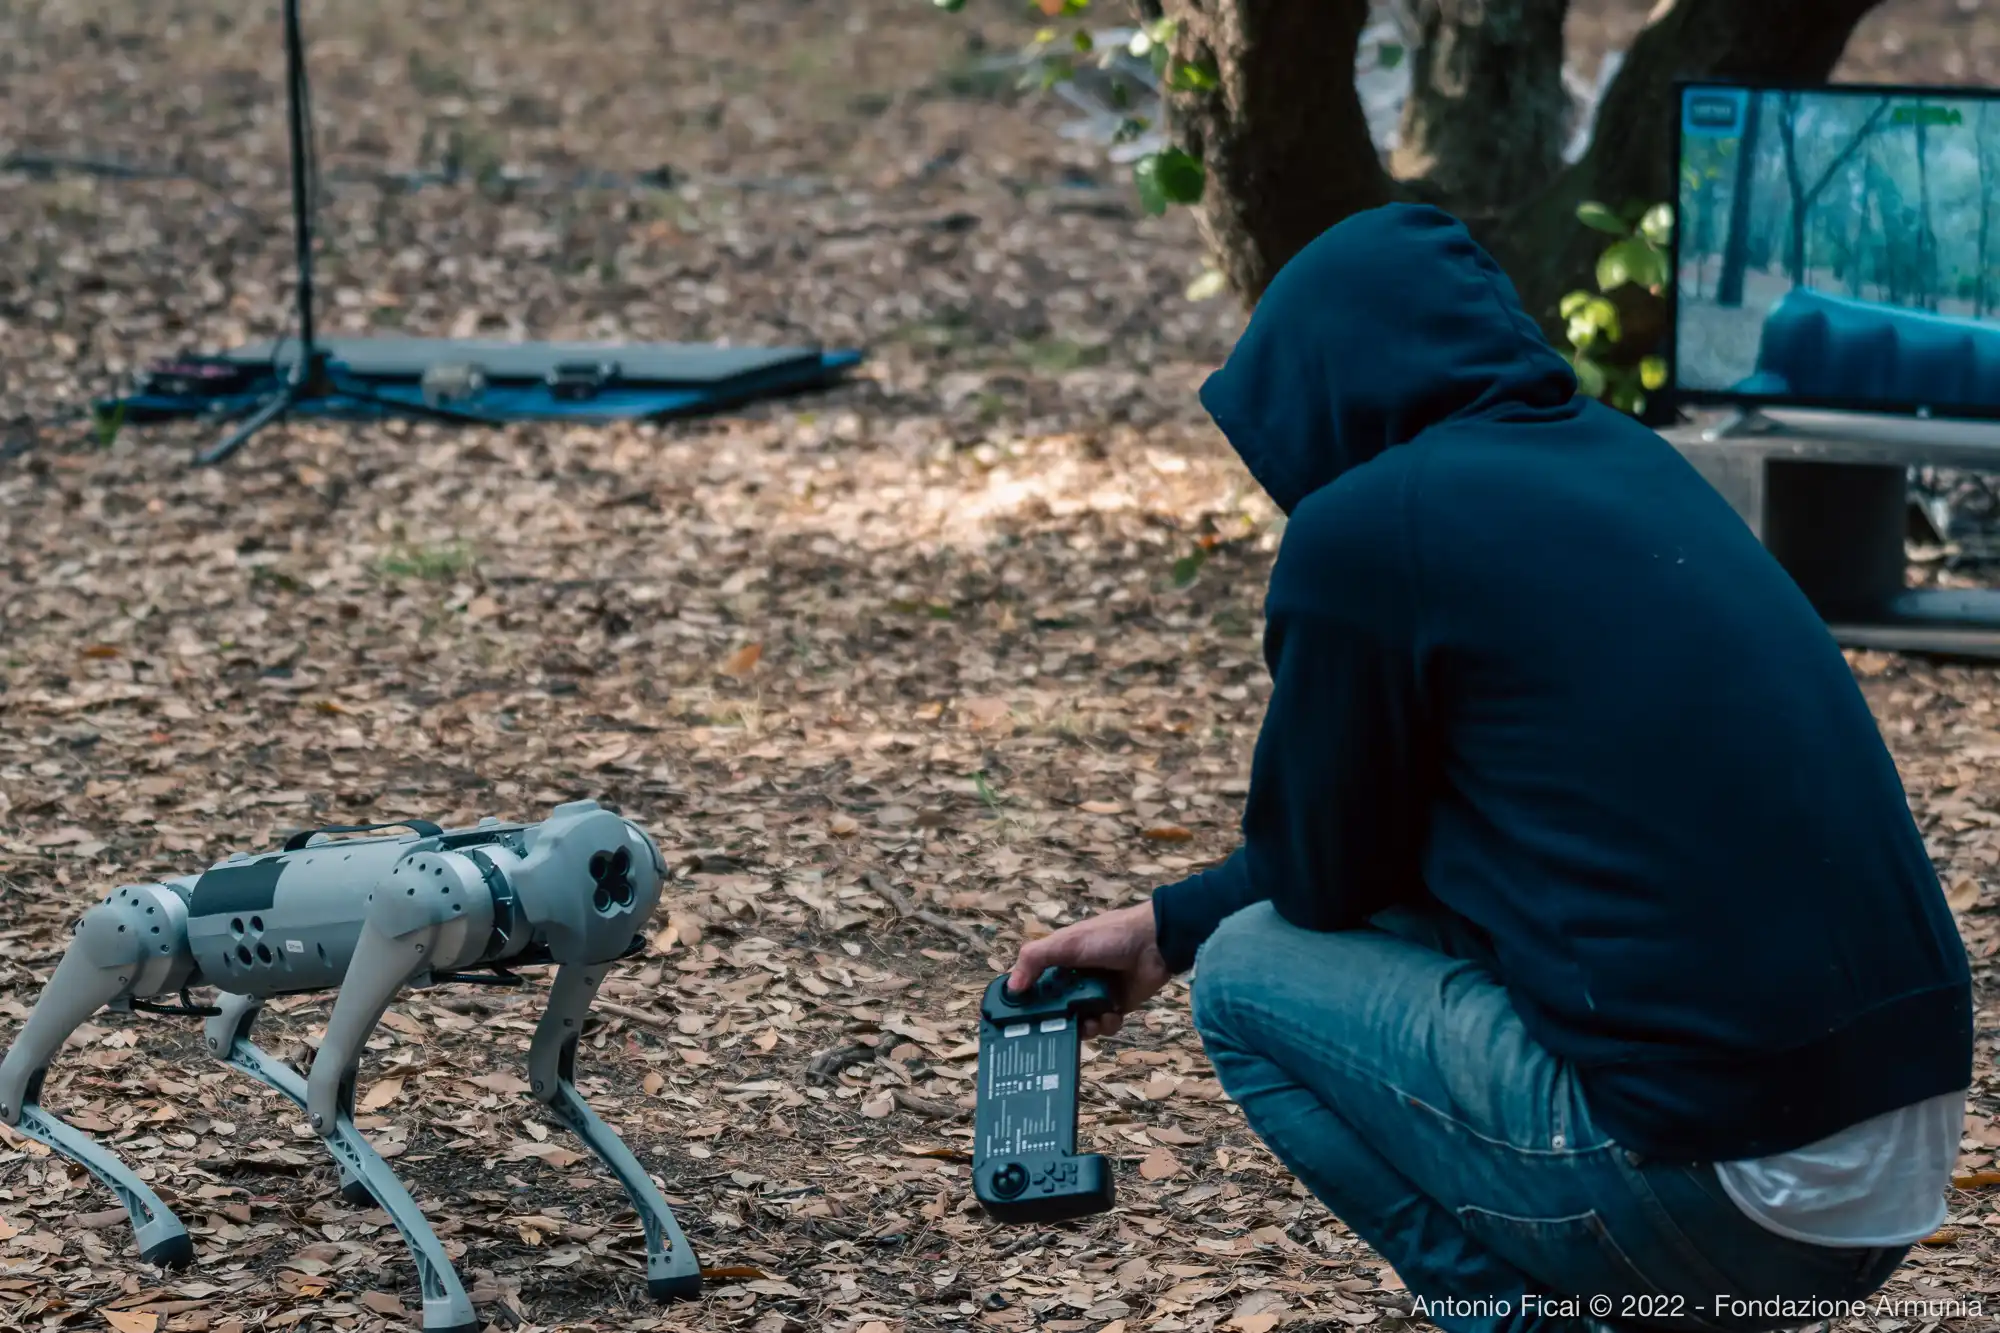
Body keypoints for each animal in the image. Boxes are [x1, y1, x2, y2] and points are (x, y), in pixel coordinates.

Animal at [0, 800, 704, 1328]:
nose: (612, 864)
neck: (504, 872)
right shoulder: (405, 906)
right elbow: (324, 1094)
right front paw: (446, 1303)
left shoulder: (579, 957)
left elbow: (548, 1077)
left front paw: (670, 1260)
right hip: (142, 936)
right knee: (43, 1051)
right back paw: (144, 1212)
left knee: (223, 1033)